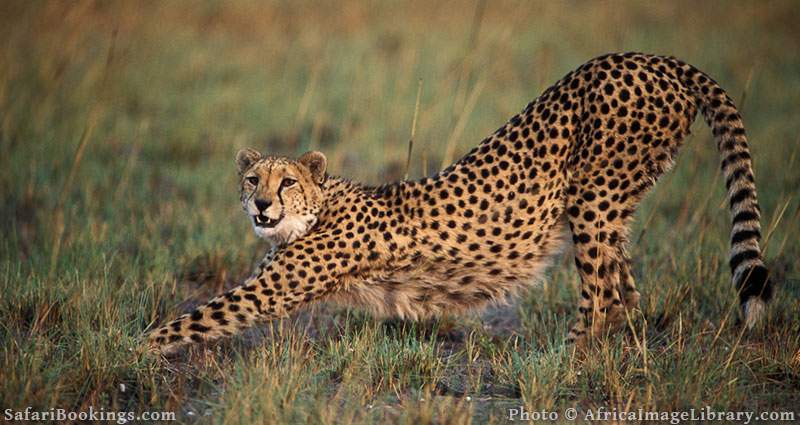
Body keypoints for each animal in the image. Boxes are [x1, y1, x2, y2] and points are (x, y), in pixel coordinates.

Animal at [147, 51, 772, 352]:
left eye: (287, 184)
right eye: (254, 180)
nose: (261, 208)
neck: (316, 209)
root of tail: (655, 59)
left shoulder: (269, 289)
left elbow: (191, 320)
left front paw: (130, 351)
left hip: (594, 196)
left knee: (599, 294)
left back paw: (567, 359)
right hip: (615, 201)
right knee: (625, 287)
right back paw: (629, 348)